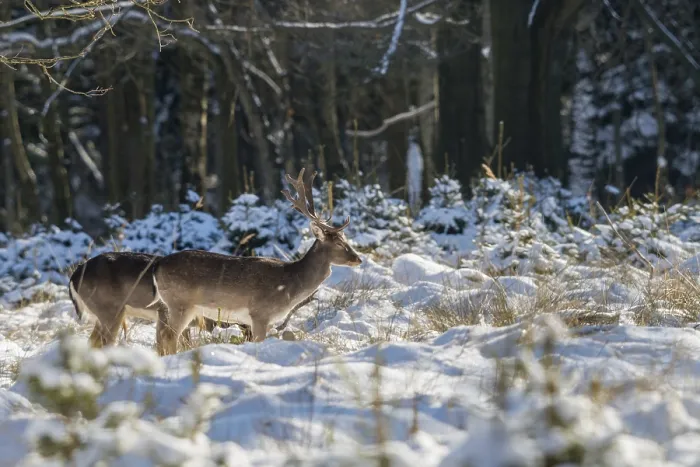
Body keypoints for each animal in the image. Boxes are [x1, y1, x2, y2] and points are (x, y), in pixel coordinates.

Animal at [149, 168, 362, 355]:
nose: (358, 258)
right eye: (338, 243)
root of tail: (157, 266)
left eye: (345, 238)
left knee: (160, 336)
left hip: (170, 305)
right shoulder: (260, 313)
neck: (290, 285)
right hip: (180, 303)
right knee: (169, 336)